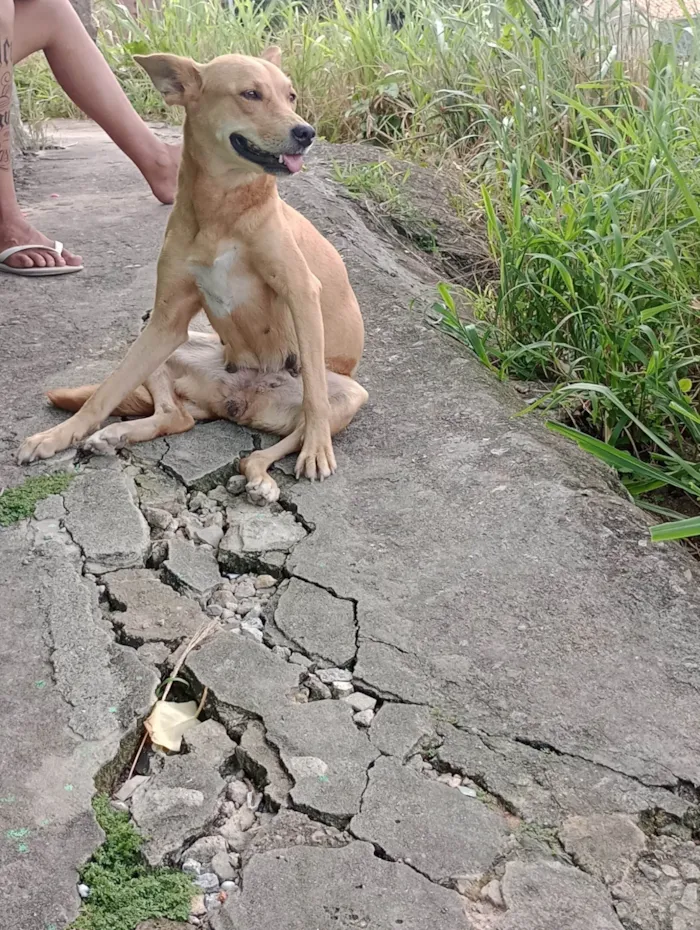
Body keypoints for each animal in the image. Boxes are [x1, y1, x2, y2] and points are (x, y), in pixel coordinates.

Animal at [17, 48, 366, 504]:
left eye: (290, 95)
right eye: (250, 94)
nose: (307, 132)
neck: (220, 210)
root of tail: (240, 403)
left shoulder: (302, 292)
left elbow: (316, 402)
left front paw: (319, 452)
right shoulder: (166, 319)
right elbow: (105, 391)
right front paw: (57, 436)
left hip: (351, 392)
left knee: (283, 434)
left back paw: (267, 474)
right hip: (159, 341)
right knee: (176, 417)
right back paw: (115, 435)